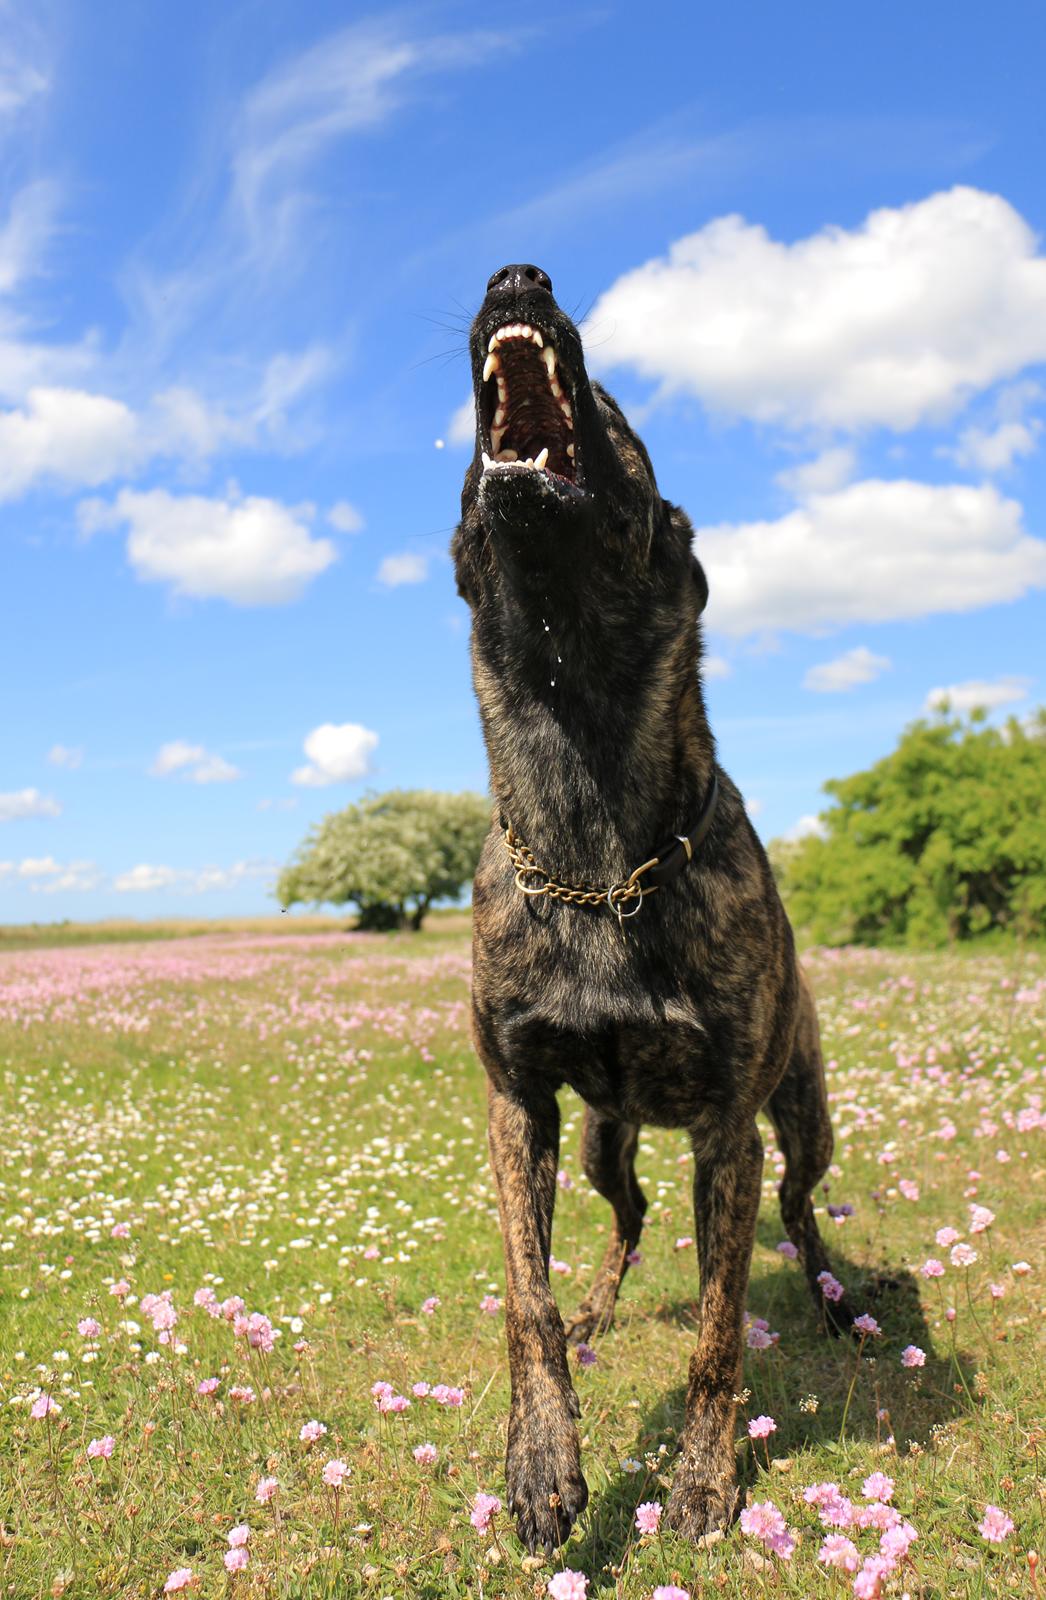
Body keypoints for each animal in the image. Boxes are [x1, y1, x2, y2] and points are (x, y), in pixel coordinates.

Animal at [454, 259, 863, 1548]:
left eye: (617, 410)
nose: (514, 275)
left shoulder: (728, 1127)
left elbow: (720, 1330)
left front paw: (699, 1478)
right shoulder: (519, 1108)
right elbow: (522, 1301)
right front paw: (543, 1462)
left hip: (798, 1116)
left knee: (795, 1211)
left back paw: (834, 1305)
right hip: (598, 1137)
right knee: (627, 1221)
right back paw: (596, 1309)